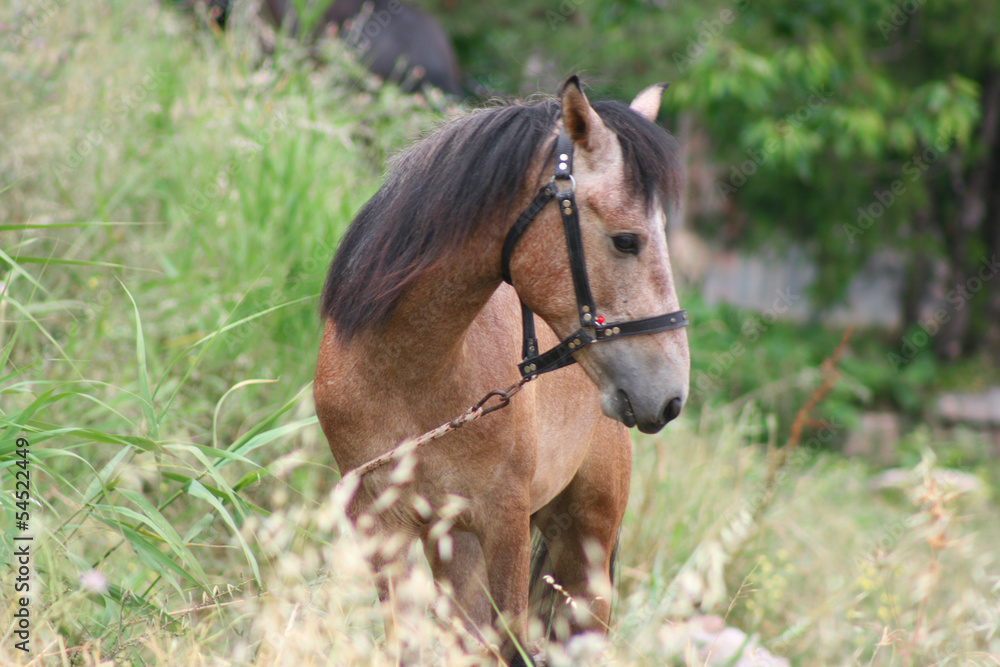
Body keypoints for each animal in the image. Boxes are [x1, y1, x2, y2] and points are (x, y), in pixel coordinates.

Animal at [314, 76, 690, 665]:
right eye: (626, 240)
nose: (671, 395)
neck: (409, 376)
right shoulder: (385, 527)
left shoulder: (504, 522)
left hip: (586, 544)